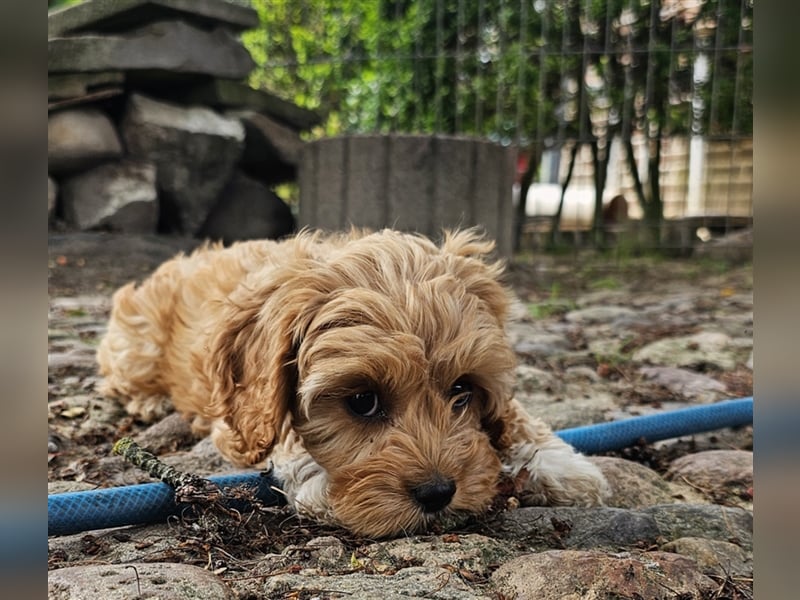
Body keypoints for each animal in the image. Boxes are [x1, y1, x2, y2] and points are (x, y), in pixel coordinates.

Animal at [97, 227, 608, 536]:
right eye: (362, 401)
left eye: (462, 389)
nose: (438, 494)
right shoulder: (238, 415)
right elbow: (286, 437)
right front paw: (321, 482)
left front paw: (560, 463)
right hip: (137, 342)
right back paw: (147, 402)